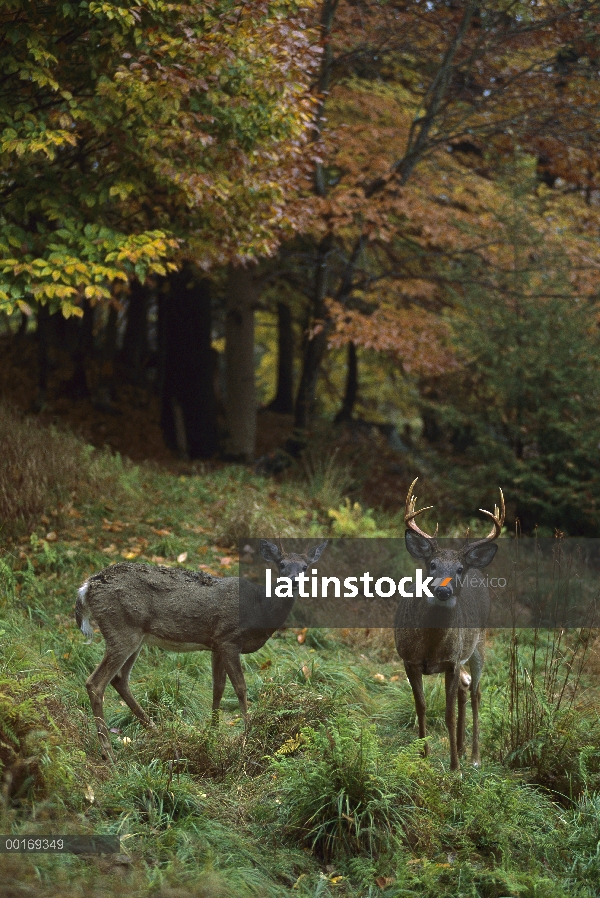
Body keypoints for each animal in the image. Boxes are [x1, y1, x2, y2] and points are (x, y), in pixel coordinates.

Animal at [76, 540, 328, 756]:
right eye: (282, 564)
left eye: (305, 567)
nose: (294, 581)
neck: (260, 610)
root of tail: (87, 587)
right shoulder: (229, 638)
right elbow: (240, 687)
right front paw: (248, 734)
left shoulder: (216, 644)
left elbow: (218, 688)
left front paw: (213, 734)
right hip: (121, 629)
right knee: (95, 683)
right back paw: (108, 751)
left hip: (136, 636)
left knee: (120, 679)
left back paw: (155, 730)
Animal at [396, 480, 504, 768]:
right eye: (432, 564)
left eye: (458, 569)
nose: (442, 590)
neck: (430, 647)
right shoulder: (409, 660)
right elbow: (421, 707)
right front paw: (423, 755)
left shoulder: (451, 662)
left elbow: (448, 714)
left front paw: (455, 767)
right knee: (465, 688)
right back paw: (464, 749)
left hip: (480, 642)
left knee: (476, 692)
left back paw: (474, 757)